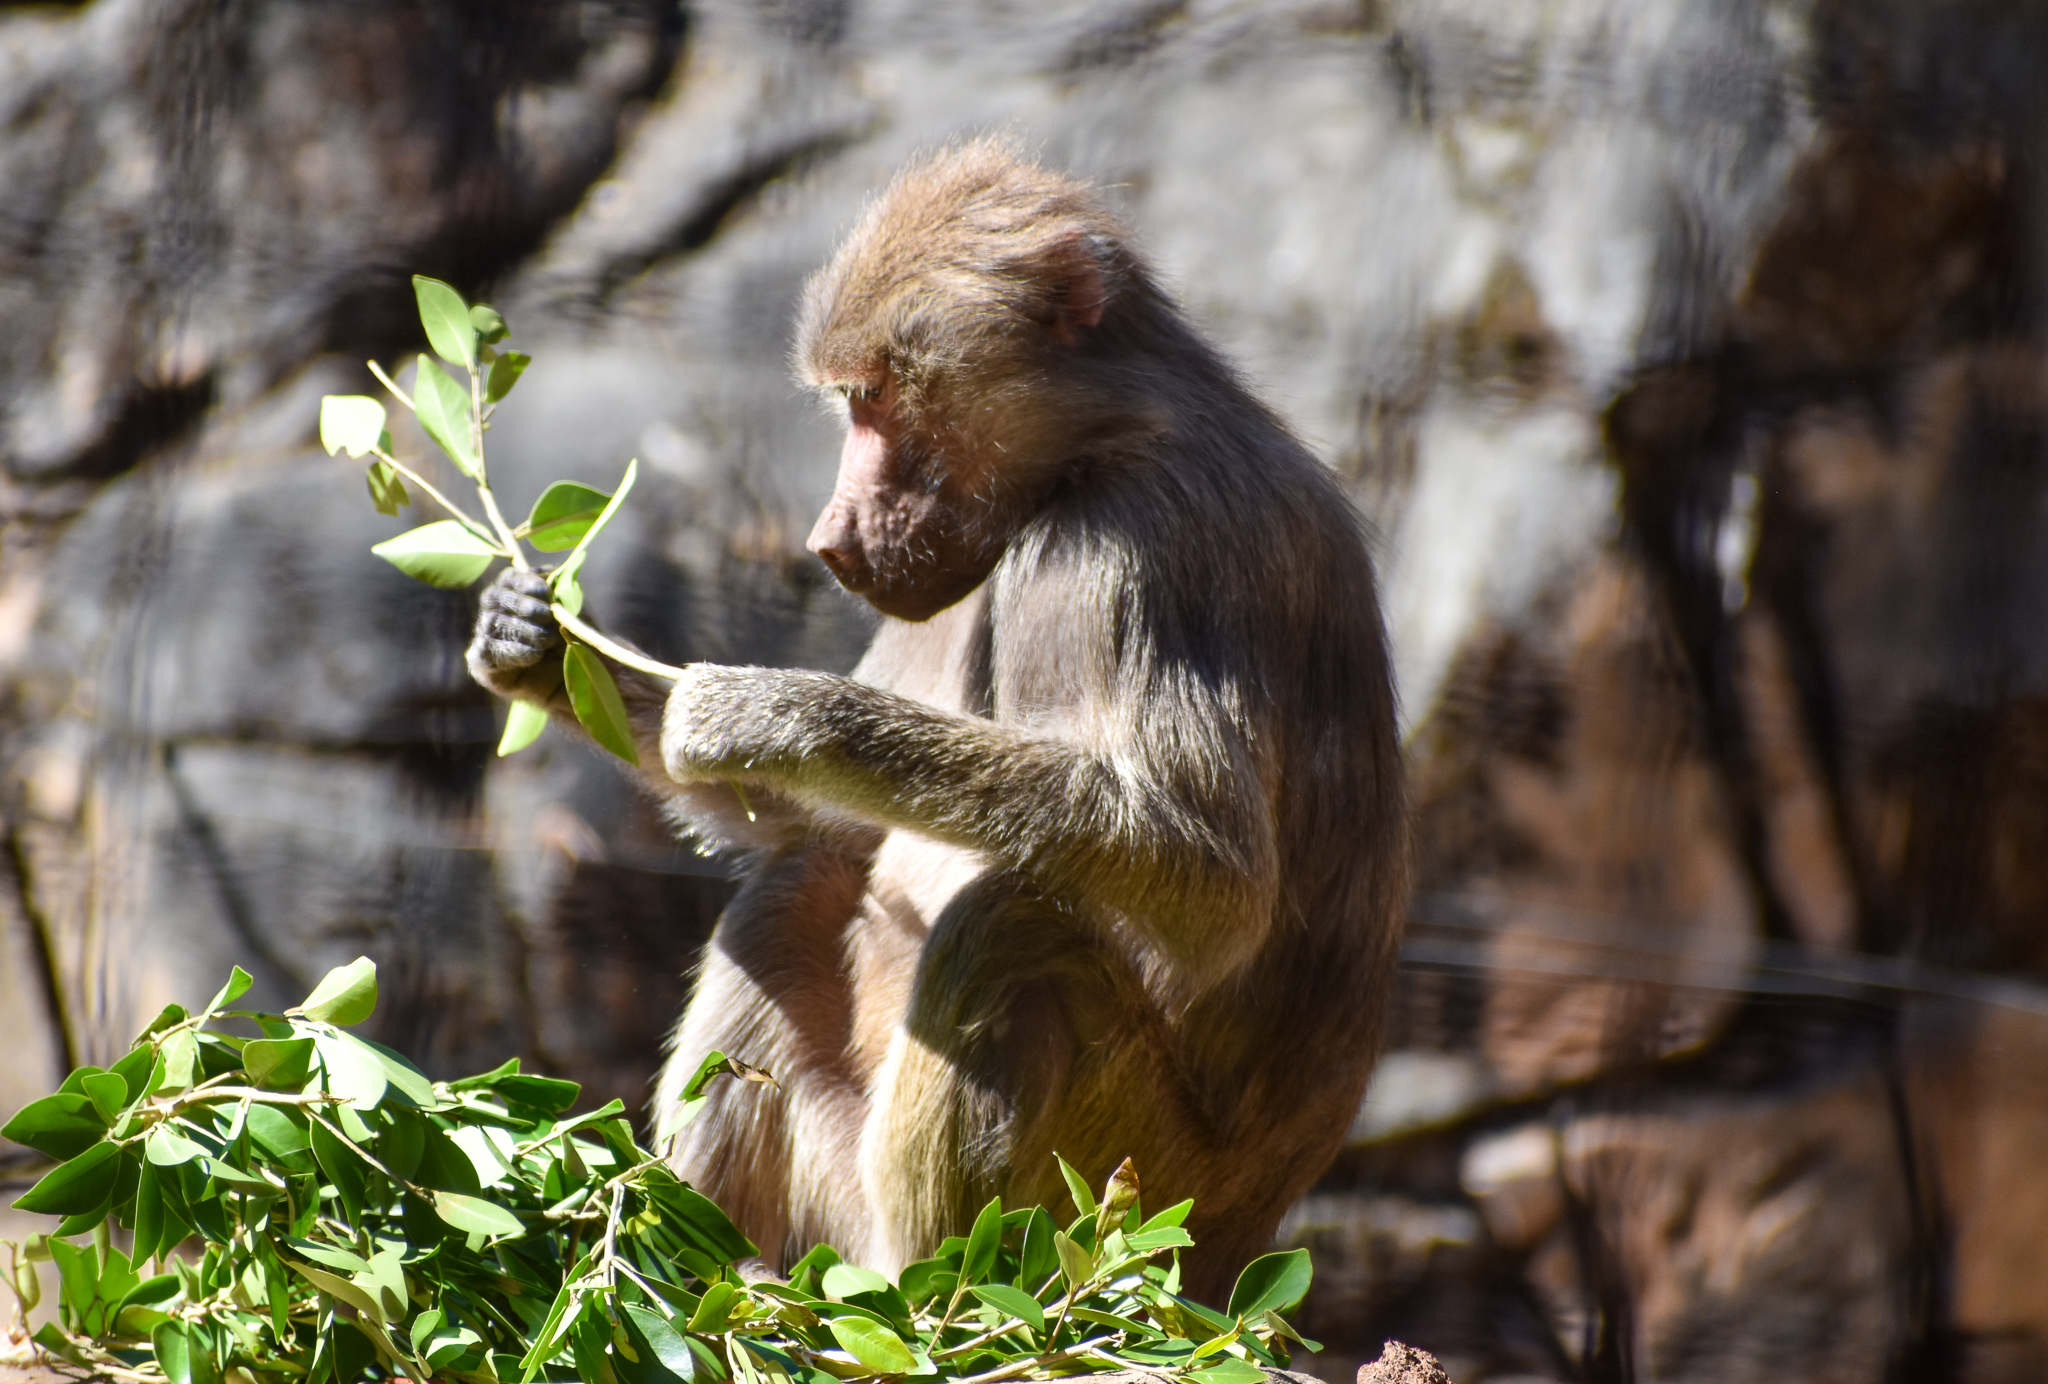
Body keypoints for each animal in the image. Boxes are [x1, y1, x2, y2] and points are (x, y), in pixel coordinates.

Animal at [467, 137, 1408, 1303]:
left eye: (873, 400)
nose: (829, 540)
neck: (1096, 449)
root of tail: (1228, 1266)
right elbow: (831, 829)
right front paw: (541, 644)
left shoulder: (1145, 547)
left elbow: (1209, 873)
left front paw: (775, 712)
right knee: (797, 890)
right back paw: (689, 1259)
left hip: (1124, 1197)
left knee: (1002, 931)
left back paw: (933, 1292)